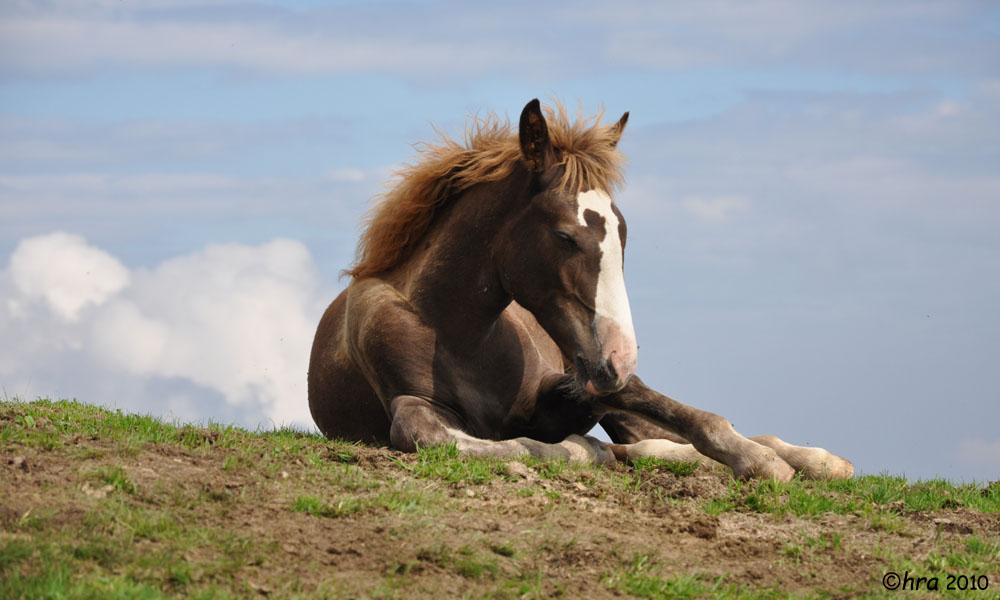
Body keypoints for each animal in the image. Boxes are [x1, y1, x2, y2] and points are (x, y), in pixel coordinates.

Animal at [310, 101, 852, 480]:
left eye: (623, 232)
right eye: (565, 236)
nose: (619, 358)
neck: (467, 339)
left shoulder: (568, 387)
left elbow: (698, 420)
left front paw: (762, 463)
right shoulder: (411, 404)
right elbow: (440, 437)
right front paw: (580, 449)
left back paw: (815, 459)